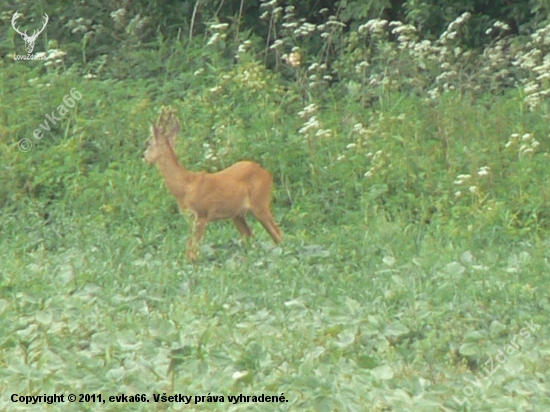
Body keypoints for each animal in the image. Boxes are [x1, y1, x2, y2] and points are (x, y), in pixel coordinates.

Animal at [144, 107, 282, 260]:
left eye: (148, 143)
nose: (144, 157)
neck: (185, 186)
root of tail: (267, 174)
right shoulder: (190, 218)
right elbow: (189, 248)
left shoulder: (201, 213)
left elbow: (193, 250)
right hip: (238, 215)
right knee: (251, 237)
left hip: (260, 203)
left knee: (278, 235)